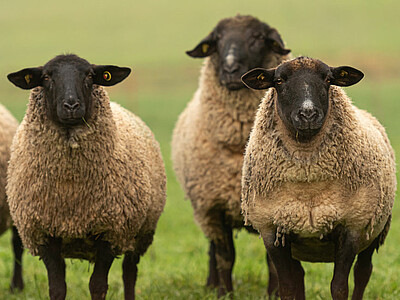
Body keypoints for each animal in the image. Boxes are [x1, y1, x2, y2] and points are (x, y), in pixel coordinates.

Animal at [6, 54, 166, 300]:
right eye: (46, 77)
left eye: (90, 76)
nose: (71, 105)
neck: (71, 187)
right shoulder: (44, 232)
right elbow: (57, 288)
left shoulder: (111, 230)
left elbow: (98, 286)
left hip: (140, 232)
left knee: (129, 272)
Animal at [170, 15, 290, 296]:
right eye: (217, 40)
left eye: (258, 38)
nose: (230, 69)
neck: (239, 151)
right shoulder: (212, 208)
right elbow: (225, 256)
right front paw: (224, 293)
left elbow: (273, 261)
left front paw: (274, 294)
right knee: (213, 251)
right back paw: (211, 285)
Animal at [239, 55, 396, 298]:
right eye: (279, 81)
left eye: (328, 79)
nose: (308, 114)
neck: (307, 184)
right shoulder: (272, 231)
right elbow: (287, 287)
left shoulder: (351, 227)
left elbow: (339, 288)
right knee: (299, 277)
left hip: (375, 230)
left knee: (363, 273)